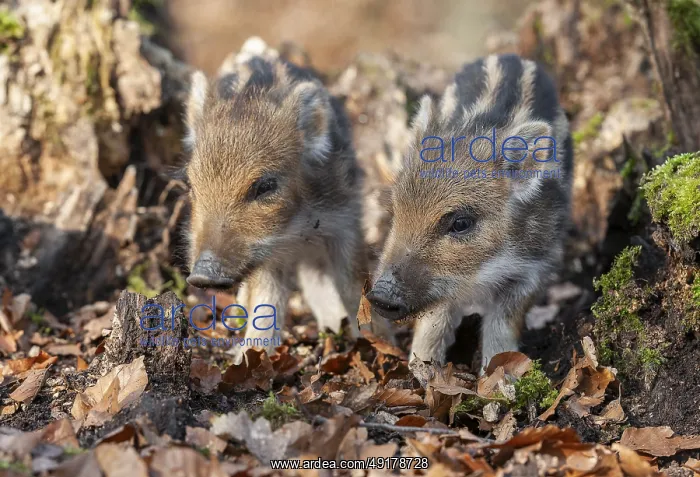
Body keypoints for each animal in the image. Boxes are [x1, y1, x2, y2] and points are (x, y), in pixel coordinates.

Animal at [182, 39, 390, 358]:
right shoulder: (266, 255)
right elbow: (267, 302)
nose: (203, 275)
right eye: (191, 185)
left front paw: (378, 341)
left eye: (266, 186)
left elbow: (352, 283)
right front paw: (248, 357)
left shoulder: (344, 222)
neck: (297, 224)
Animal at [367, 54, 573, 372]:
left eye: (461, 223)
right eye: (397, 210)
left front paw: (501, 378)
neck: (481, 271)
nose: (379, 296)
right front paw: (420, 369)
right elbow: (435, 320)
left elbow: (502, 325)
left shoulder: (536, 266)